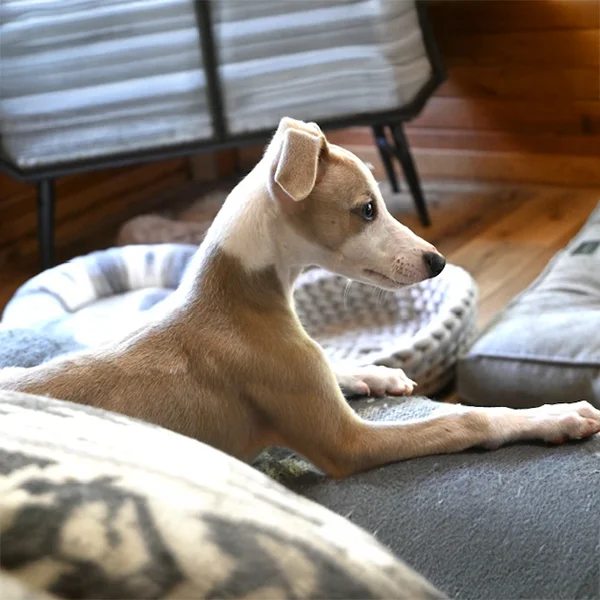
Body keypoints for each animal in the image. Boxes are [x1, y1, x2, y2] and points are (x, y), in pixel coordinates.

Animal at [1, 116, 600, 474]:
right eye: (366, 209)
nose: (437, 261)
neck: (239, 295)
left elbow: (336, 365)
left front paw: (376, 373)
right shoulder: (347, 443)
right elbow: (464, 420)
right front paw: (557, 416)